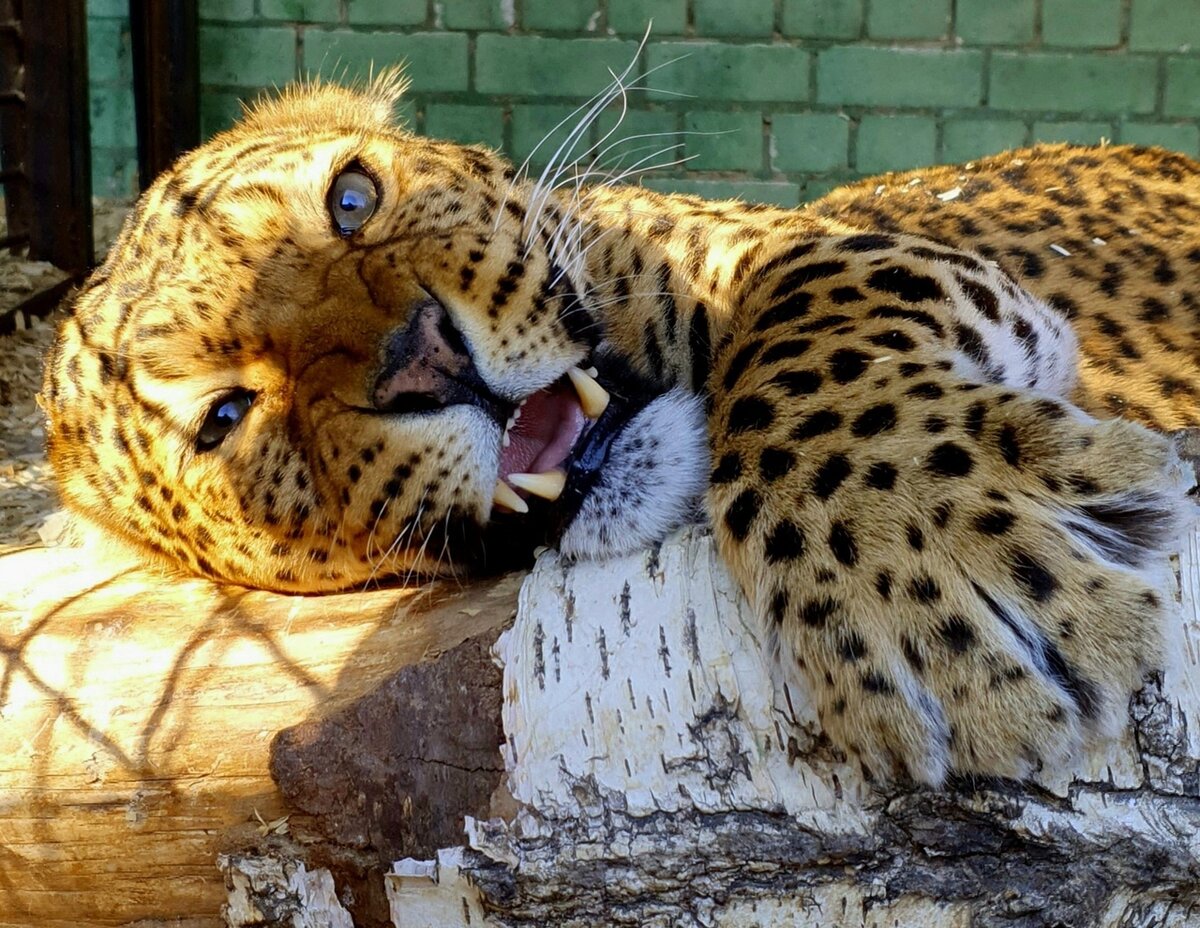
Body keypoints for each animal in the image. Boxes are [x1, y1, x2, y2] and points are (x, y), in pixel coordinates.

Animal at [39, 70, 1200, 782]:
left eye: (353, 200)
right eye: (224, 416)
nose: (425, 352)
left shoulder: (822, 247)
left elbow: (806, 331)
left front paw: (919, 547)